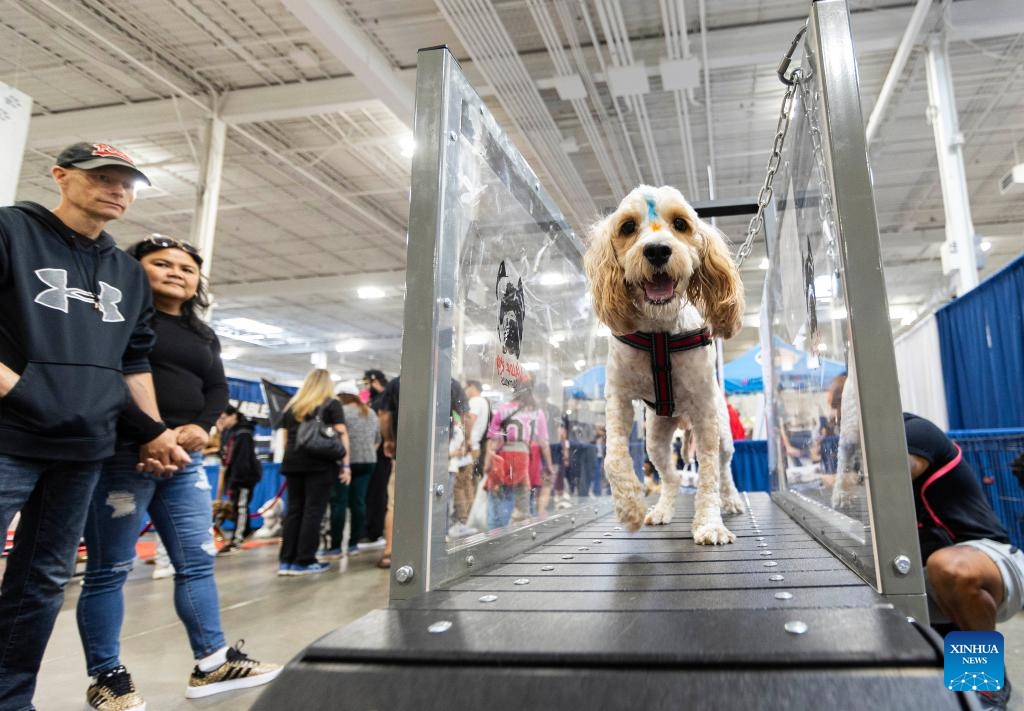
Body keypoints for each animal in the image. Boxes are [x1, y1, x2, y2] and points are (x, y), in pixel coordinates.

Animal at [589, 185, 749, 545]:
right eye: (627, 227)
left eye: (680, 224)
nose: (657, 250)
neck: (659, 332)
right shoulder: (618, 399)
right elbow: (613, 458)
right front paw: (629, 509)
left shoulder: (705, 412)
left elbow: (708, 475)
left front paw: (709, 525)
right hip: (657, 439)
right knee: (673, 476)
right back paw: (661, 510)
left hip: (723, 433)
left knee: (724, 468)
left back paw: (731, 500)